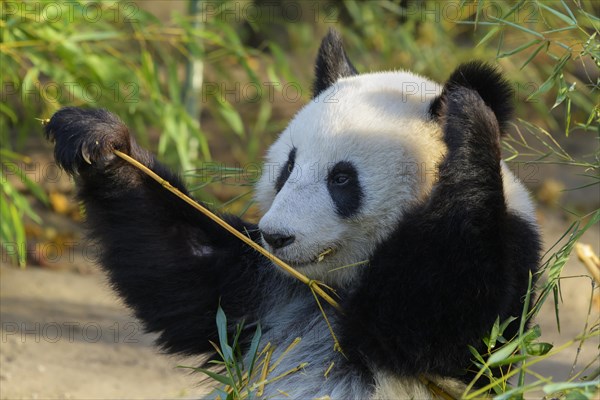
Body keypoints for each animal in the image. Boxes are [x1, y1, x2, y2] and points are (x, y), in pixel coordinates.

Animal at [45, 29, 540, 398]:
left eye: (342, 179)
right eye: (287, 167)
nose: (276, 237)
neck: (333, 286)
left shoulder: (511, 261)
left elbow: (444, 324)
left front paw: (471, 116)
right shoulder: (261, 287)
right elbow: (178, 268)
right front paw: (98, 138)